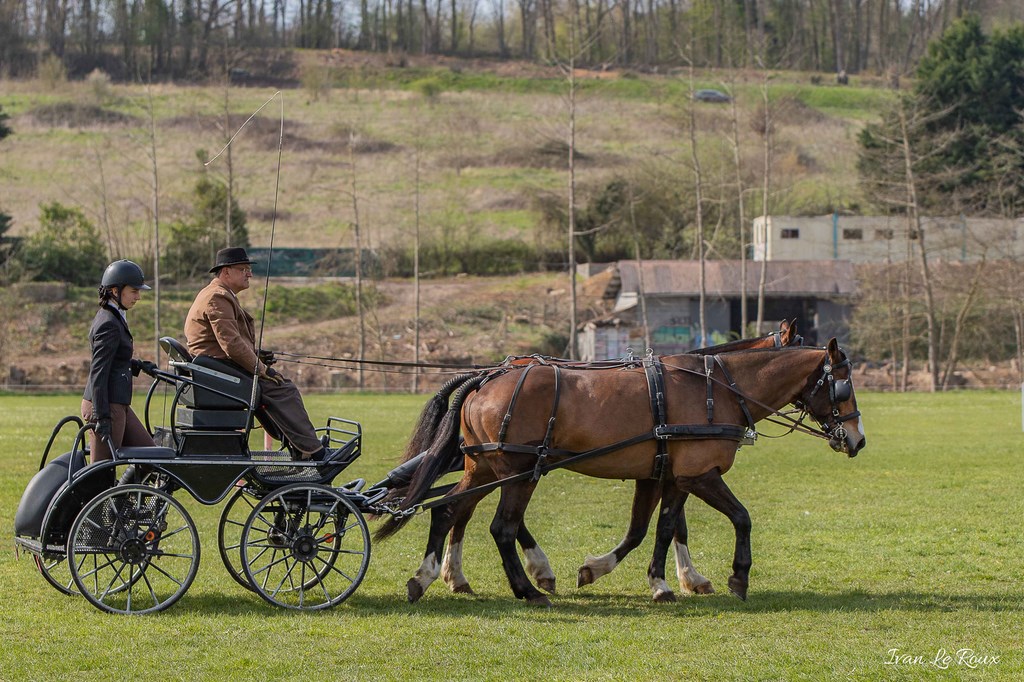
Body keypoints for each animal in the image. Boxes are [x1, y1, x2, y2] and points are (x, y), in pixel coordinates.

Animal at [380, 337, 860, 602]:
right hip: (517, 468)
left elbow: (655, 529)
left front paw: (646, 578)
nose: (857, 440)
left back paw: (430, 577)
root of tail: (487, 378)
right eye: (844, 386)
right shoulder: (698, 474)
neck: (718, 390)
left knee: (448, 509)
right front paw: (735, 576)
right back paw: (528, 588)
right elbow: (739, 517)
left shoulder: (664, 475)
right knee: (501, 526)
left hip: (483, 466)